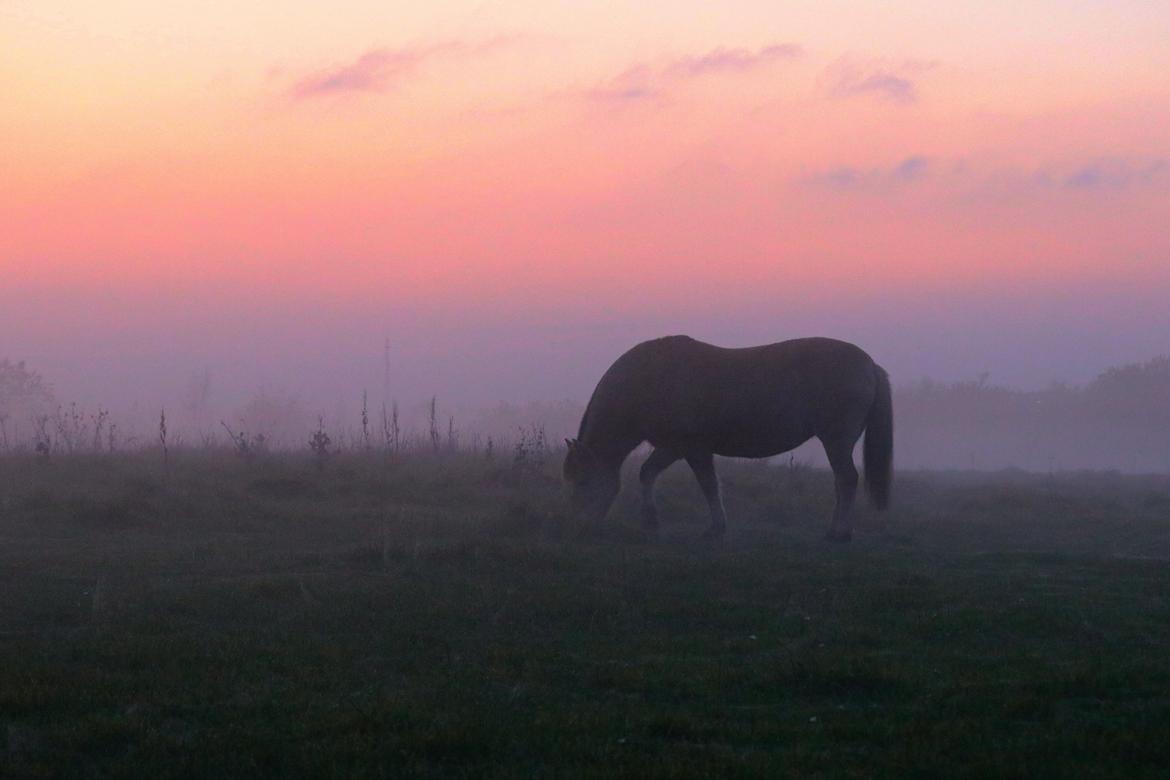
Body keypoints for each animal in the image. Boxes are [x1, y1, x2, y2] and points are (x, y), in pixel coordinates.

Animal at [561, 336, 889, 542]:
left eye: (584, 481)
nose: (579, 527)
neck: (652, 379)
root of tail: (869, 364)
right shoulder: (672, 446)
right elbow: (647, 473)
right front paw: (651, 521)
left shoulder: (694, 448)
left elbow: (708, 485)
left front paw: (716, 529)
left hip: (836, 441)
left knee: (846, 480)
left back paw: (839, 534)